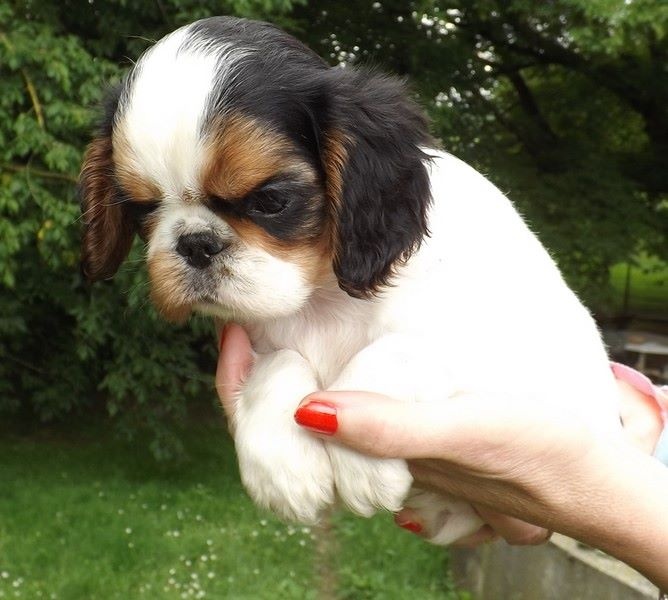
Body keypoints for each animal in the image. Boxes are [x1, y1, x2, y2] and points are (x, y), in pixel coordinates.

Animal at [80, 16, 622, 544]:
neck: (325, 296)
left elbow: (394, 352)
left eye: (271, 199)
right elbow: (279, 364)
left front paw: (360, 462)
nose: (194, 243)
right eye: (141, 207)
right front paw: (283, 470)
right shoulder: (257, 337)